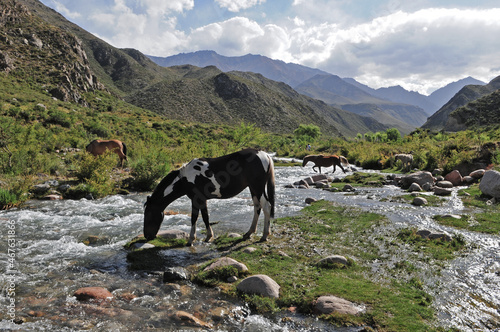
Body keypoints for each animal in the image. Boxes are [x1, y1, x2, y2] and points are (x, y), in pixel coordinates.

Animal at [143, 149, 276, 245]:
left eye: (148, 213)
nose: (147, 236)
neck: (186, 178)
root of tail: (265, 155)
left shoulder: (195, 199)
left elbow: (194, 218)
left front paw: (191, 240)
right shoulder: (202, 200)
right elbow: (205, 217)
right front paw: (208, 236)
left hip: (257, 188)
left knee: (266, 207)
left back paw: (264, 235)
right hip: (253, 189)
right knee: (257, 207)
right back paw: (249, 233)